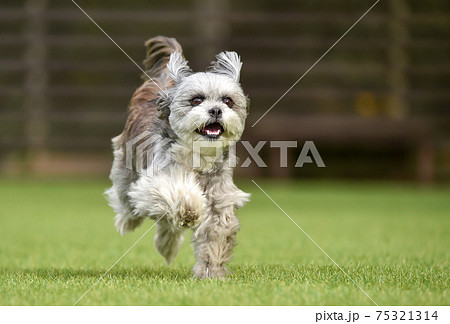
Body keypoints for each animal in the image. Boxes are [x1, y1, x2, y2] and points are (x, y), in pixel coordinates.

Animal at [107, 36, 251, 278]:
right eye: (196, 100)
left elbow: (216, 237)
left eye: (228, 101)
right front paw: (191, 208)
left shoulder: (220, 201)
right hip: (126, 173)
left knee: (166, 224)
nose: (216, 110)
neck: (199, 156)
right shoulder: (155, 183)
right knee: (129, 203)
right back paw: (129, 221)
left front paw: (211, 272)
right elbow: (180, 195)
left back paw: (167, 246)